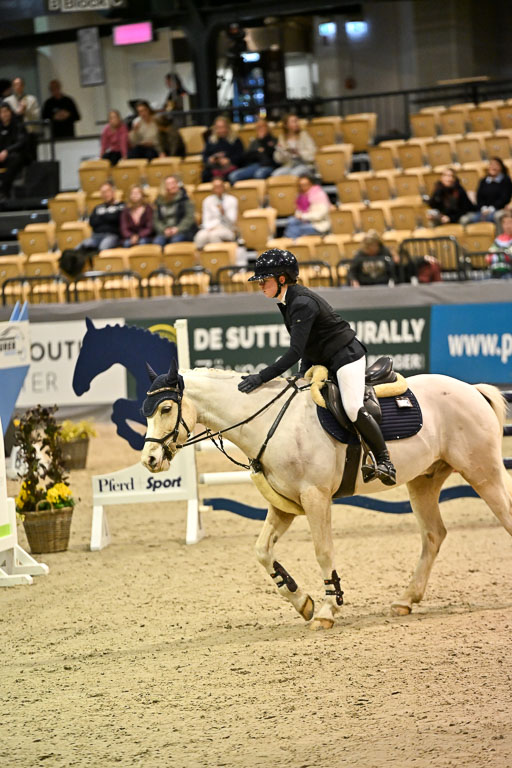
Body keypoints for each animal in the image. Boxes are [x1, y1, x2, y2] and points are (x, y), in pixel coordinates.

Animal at [140, 362, 512, 630]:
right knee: (433, 535)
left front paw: (327, 608)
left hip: (483, 472)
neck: (268, 421)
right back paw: (406, 599)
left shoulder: (315, 497)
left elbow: (323, 551)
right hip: (424, 481)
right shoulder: (283, 506)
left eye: (165, 409)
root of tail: (473, 390)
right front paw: (300, 599)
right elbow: (262, 551)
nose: (150, 460)